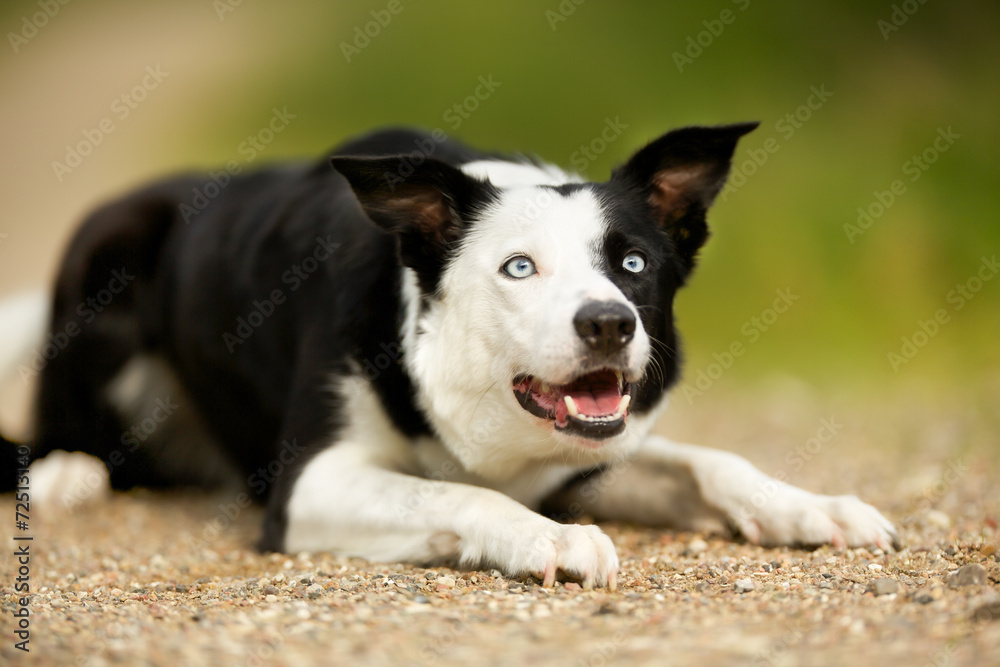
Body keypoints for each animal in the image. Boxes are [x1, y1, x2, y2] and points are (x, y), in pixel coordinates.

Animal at [1, 124, 900, 588]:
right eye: (518, 267)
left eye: (633, 262)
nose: (609, 323)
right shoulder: (308, 483)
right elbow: (456, 494)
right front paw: (551, 539)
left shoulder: (583, 455)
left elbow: (708, 462)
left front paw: (812, 506)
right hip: (103, 260)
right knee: (64, 430)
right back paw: (67, 471)